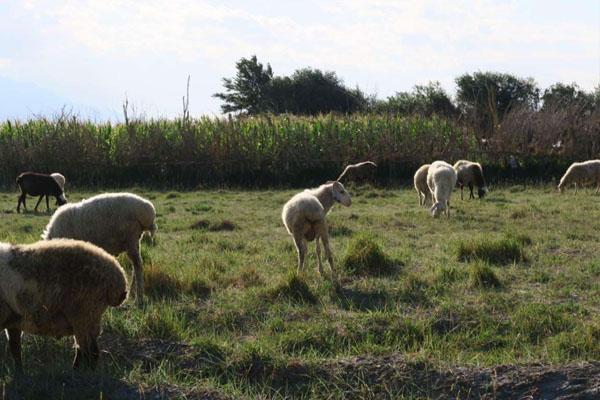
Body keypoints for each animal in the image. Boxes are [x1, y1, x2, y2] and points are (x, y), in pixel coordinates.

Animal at [0, 238, 127, 372]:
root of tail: (118, 278)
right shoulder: (13, 321)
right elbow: (15, 348)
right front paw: (19, 373)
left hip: (85, 313)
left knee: (91, 352)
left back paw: (81, 373)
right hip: (86, 317)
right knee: (83, 349)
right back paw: (76, 371)